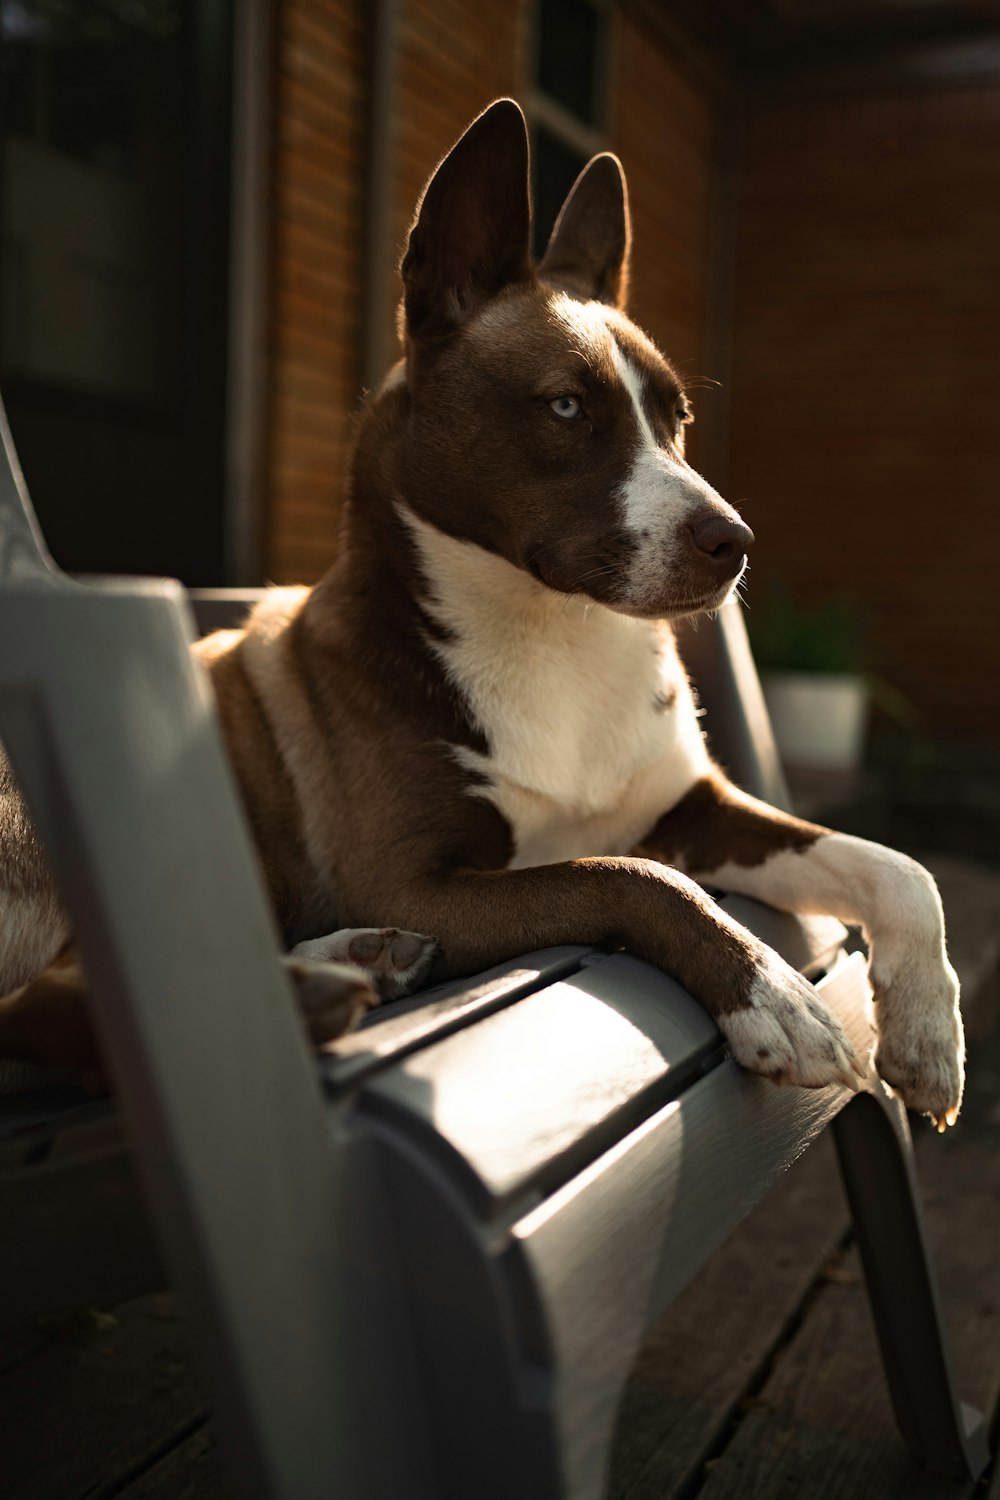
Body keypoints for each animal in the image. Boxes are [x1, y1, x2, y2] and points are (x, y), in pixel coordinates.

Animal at [1, 102, 971, 1128]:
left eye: (675, 418)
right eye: (566, 406)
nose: (734, 543)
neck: (554, 631)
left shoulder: (691, 808)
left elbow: (898, 867)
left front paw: (926, 1028)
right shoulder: (419, 884)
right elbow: (632, 875)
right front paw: (770, 992)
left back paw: (344, 964)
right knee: (47, 1004)